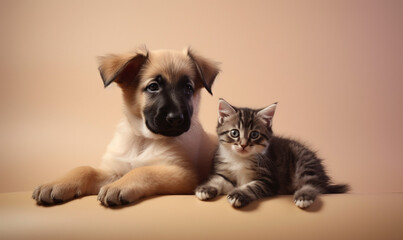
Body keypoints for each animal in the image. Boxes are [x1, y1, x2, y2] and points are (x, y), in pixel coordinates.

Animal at [32, 47, 221, 206]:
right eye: (153, 87)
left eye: (188, 88)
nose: (176, 118)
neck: (144, 139)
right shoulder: (114, 170)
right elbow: (85, 169)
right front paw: (57, 183)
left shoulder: (183, 174)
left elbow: (144, 171)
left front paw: (118, 187)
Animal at [194, 99, 348, 208]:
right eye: (234, 133)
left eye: (254, 134)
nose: (243, 144)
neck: (240, 159)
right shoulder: (225, 173)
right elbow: (219, 180)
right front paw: (206, 188)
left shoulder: (269, 180)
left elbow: (252, 186)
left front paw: (239, 194)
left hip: (304, 159)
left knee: (313, 185)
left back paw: (303, 196)